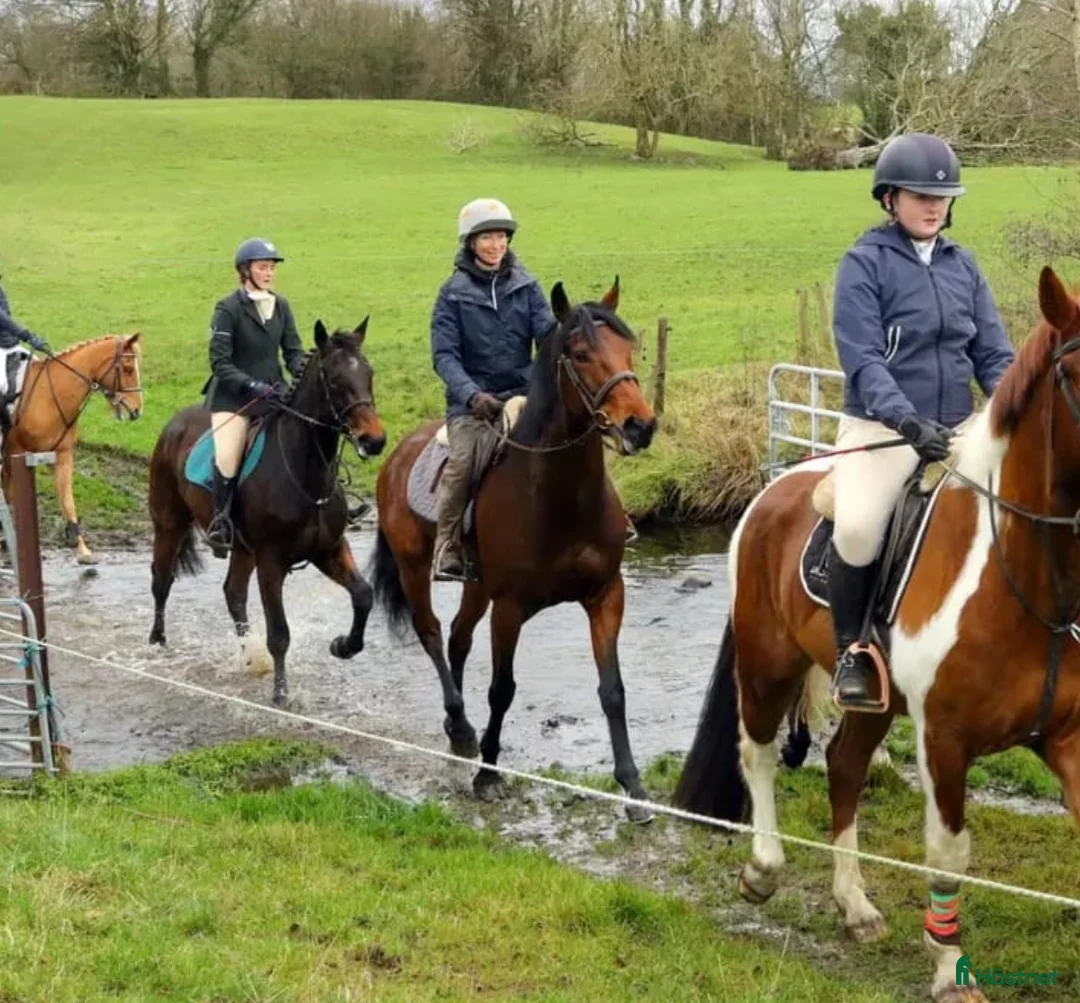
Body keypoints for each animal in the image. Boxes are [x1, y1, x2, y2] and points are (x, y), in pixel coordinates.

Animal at [2, 333, 143, 564]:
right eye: (128, 368)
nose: (137, 411)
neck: (49, 396)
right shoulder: (15, 452)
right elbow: (10, 495)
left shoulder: (62, 455)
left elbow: (68, 502)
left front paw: (83, 550)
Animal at [147, 320, 386, 706]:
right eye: (335, 380)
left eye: (369, 373)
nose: (374, 440)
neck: (307, 472)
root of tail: (175, 422)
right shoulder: (271, 561)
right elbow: (279, 634)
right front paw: (280, 692)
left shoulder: (329, 549)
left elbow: (363, 595)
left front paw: (343, 646)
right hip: (169, 523)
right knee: (162, 580)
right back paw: (157, 642)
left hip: (243, 549)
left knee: (233, 593)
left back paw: (247, 655)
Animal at [370, 279, 657, 821]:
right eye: (582, 354)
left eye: (629, 349)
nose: (640, 426)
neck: (560, 497)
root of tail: (396, 454)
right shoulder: (510, 608)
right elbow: (502, 690)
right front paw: (488, 774)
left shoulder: (606, 595)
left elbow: (613, 690)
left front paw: (634, 788)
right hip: (416, 569)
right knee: (432, 632)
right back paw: (462, 726)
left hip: (476, 585)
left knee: (458, 637)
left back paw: (457, 729)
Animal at [672, 266, 1080, 1003]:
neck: (1028, 575)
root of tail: (772, 489)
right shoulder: (945, 739)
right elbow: (948, 855)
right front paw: (949, 969)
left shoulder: (1068, 734)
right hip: (767, 665)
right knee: (759, 752)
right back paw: (763, 869)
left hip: (872, 699)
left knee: (844, 766)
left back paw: (855, 904)